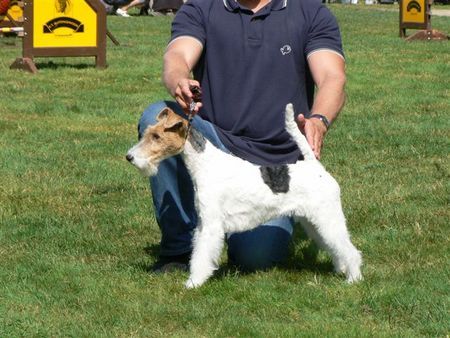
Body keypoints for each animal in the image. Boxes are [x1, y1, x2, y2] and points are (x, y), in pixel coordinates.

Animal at [126, 103, 362, 288]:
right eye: (149, 133)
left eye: (156, 136)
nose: (129, 157)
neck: (205, 164)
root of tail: (314, 166)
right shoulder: (203, 224)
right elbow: (197, 251)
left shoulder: (211, 225)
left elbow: (202, 255)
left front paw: (194, 282)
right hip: (312, 222)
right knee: (334, 247)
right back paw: (340, 269)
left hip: (327, 217)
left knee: (349, 249)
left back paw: (354, 278)